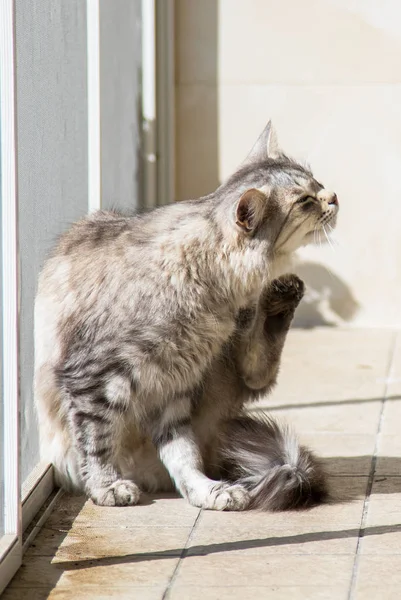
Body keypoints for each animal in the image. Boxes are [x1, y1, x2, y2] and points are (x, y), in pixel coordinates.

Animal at [36, 122, 338, 510]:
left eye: (316, 182)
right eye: (304, 200)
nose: (334, 196)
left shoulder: (172, 389)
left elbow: (183, 455)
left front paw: (205, 491)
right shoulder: (94, 376)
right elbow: (97, 442)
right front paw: (107, 487)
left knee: (257, 372)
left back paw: (280, 297)